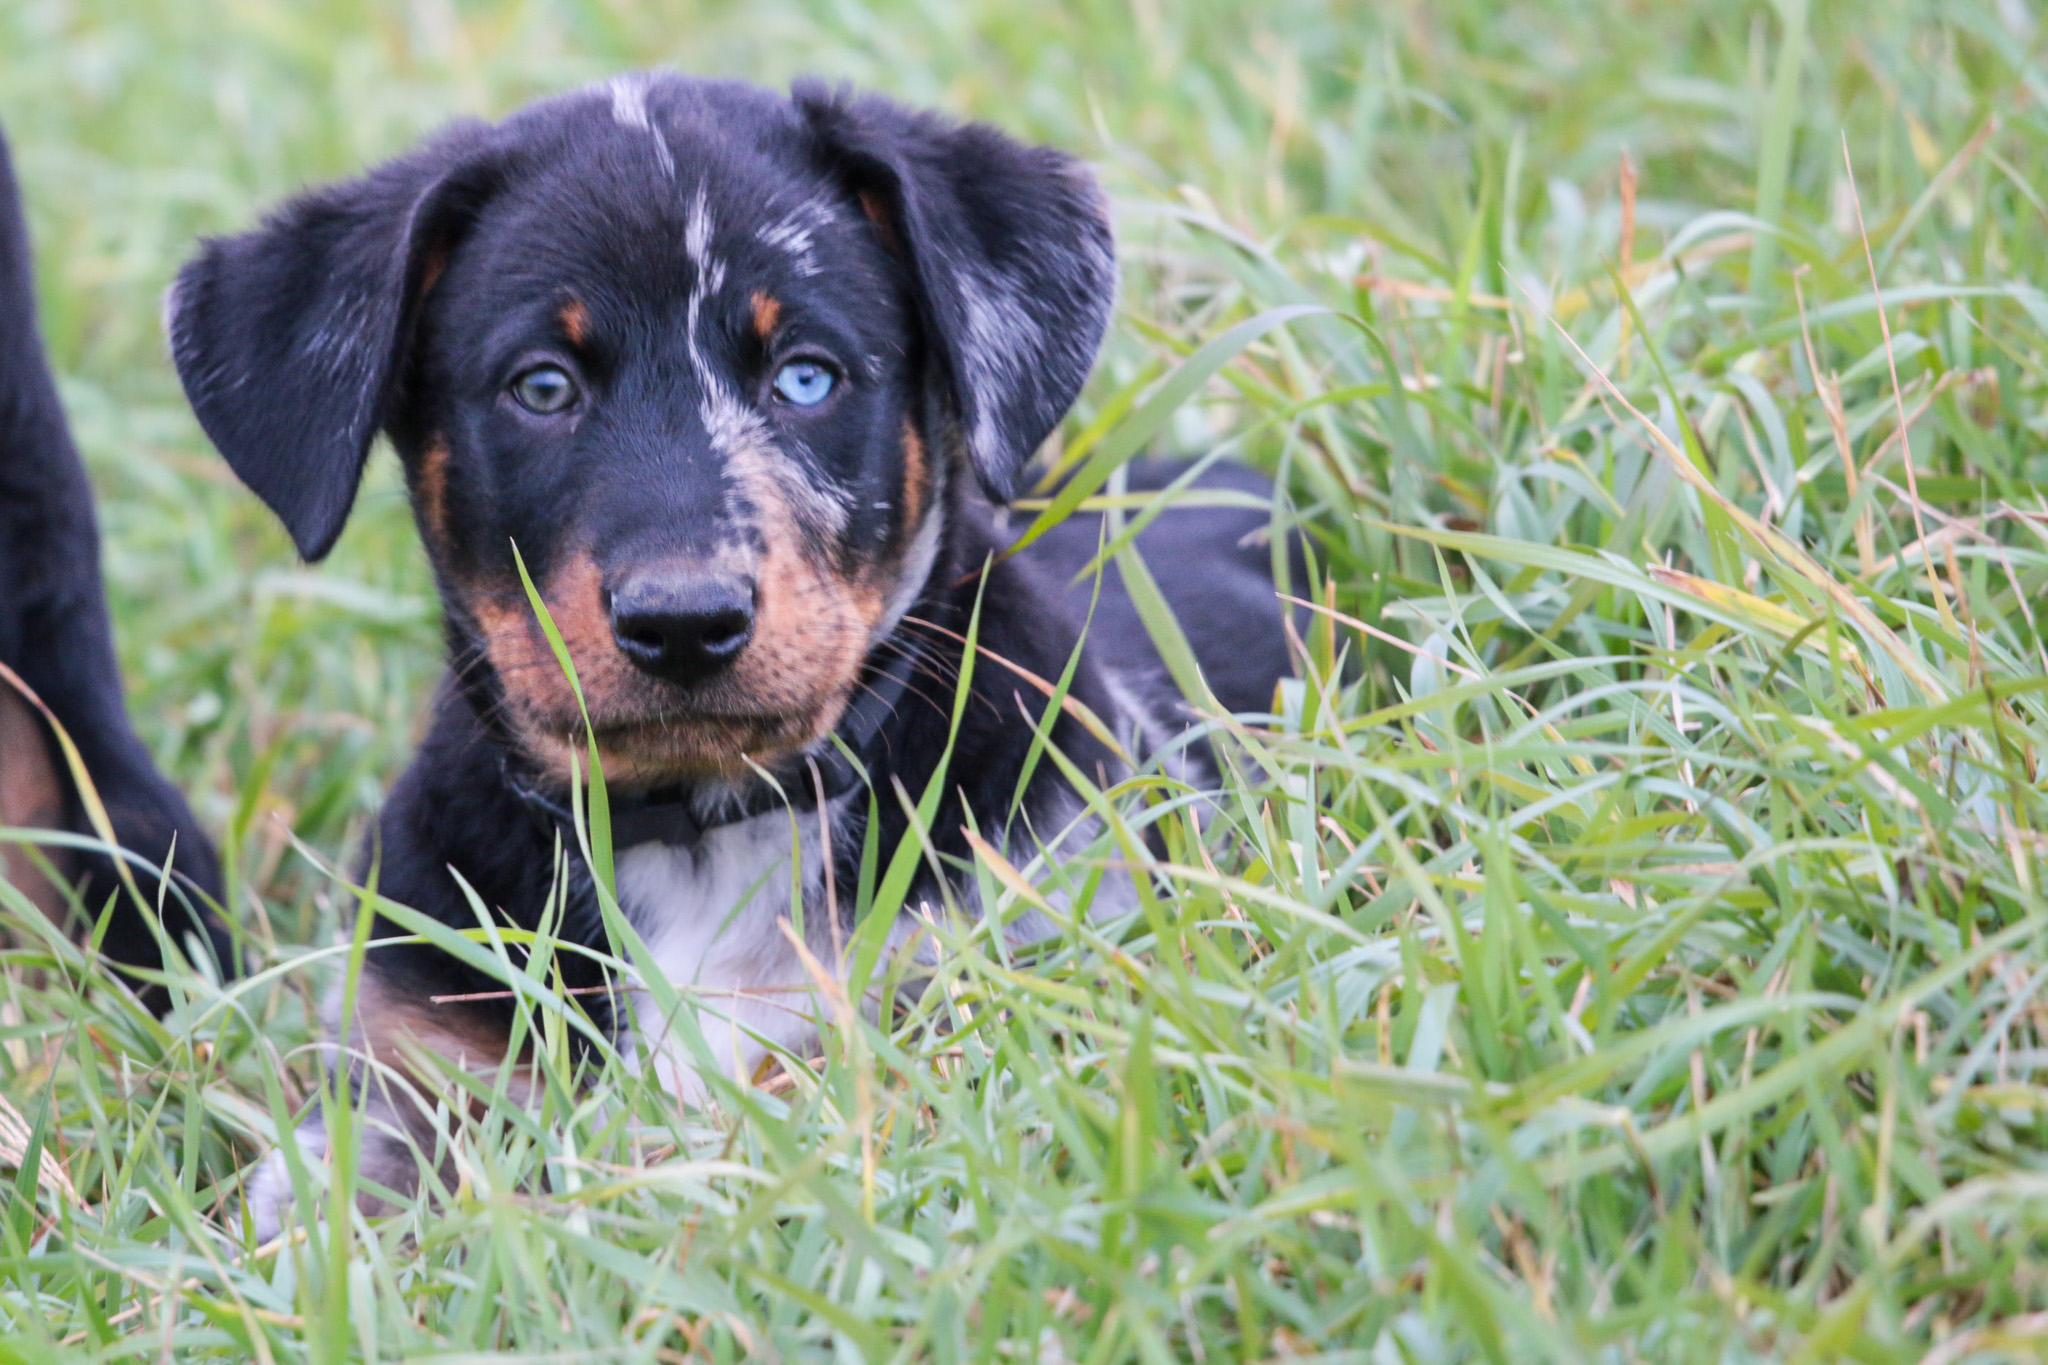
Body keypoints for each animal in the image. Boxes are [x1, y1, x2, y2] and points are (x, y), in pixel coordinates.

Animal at [172, 69, 1294, 1236]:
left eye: (805, 378)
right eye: (541, 387)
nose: (683, 622)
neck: (701, 828)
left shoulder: (988, 990)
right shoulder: (414, 1068)